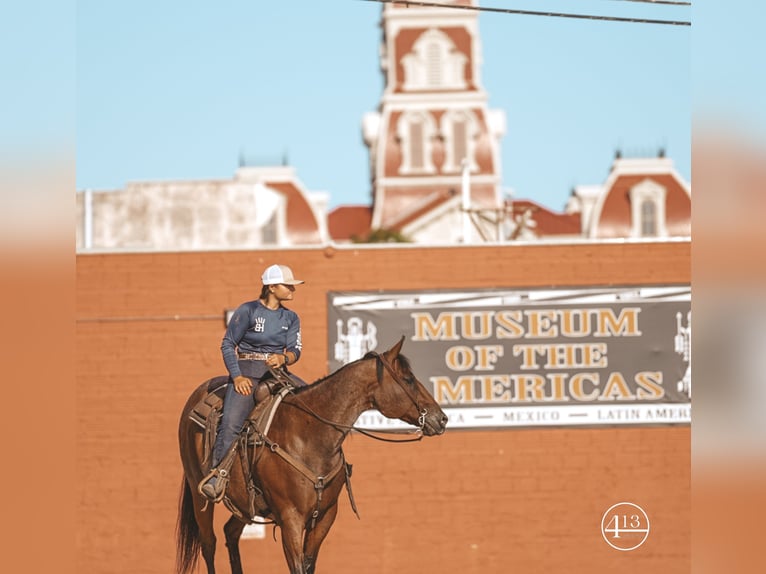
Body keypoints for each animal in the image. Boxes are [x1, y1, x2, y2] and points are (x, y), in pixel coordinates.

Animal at [174, 338, 450, 574]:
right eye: (408, 379)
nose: (441, 418)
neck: (310, 436)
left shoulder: (325, 516)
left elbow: (308, 565)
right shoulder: (291, 520)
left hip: (244, 505)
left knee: (230, 533)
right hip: (199, 493)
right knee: (208, 543)